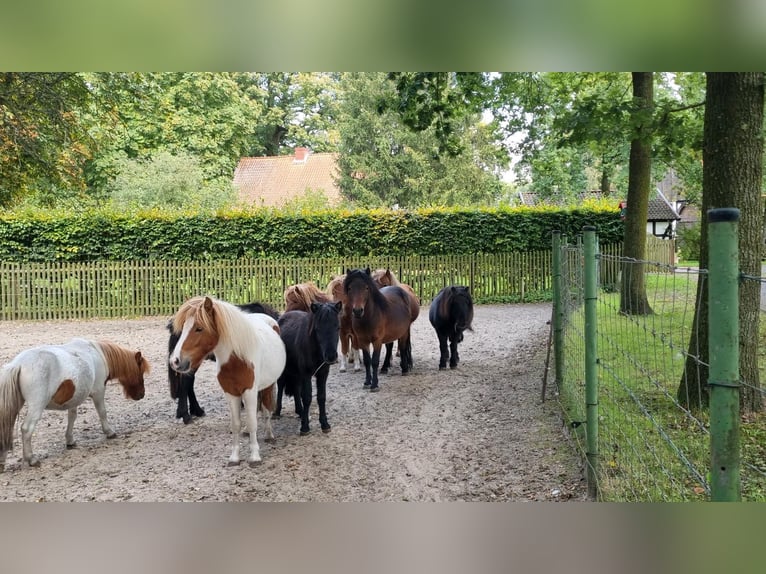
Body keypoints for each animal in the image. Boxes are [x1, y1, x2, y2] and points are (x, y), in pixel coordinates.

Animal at [0, 338, 152, 472]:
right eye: (140, 372)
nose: (141, 395)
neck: (98, 353)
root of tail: (18, 364)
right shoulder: (99, 391)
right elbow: (102, 412)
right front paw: (109, 432)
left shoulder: (75, 398)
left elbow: (72, 417)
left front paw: (70, 440)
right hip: (36, 406)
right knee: (26, 429)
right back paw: (31, 459)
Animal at [170, 296, 286, 468]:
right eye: (183, 327)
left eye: (199, 328)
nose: (175, 361)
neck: (237, 359)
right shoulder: (231, 393)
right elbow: (236, 424)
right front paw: (234, 457)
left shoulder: (249, 391)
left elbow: (253, 421)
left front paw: (255, 456)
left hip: (268, 385)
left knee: (265, 408)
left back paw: (269, 434)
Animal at [272, 302, 340, 436]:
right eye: (317, 329)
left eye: (337, 327)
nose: (331, 356)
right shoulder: (306, 374)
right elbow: (307, 397)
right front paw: (305, 427)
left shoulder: (323, 374)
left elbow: (321, 397)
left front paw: (324, 424)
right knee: (281, 385)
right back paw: (277, 412)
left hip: (296, 372)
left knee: (295, 387)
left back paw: (300, 410)